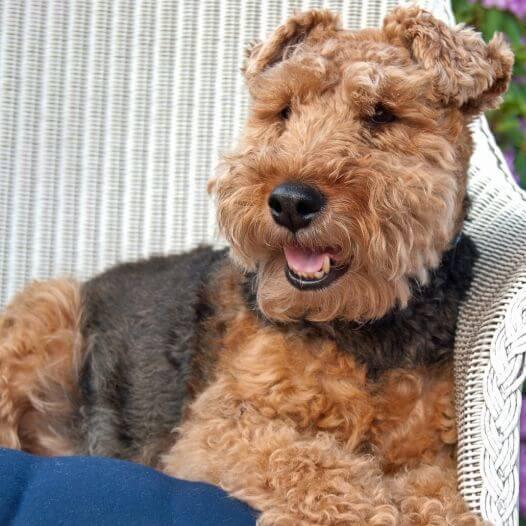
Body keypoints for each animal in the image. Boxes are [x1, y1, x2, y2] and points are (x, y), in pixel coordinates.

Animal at [0, 6, 512, 524]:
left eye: (382, 113)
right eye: (283, 110)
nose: (290, 202)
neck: (362, 329)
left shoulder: (430, 457)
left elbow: (437, 501)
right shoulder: (223, 424)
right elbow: (318, 469)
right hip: (50, 307)